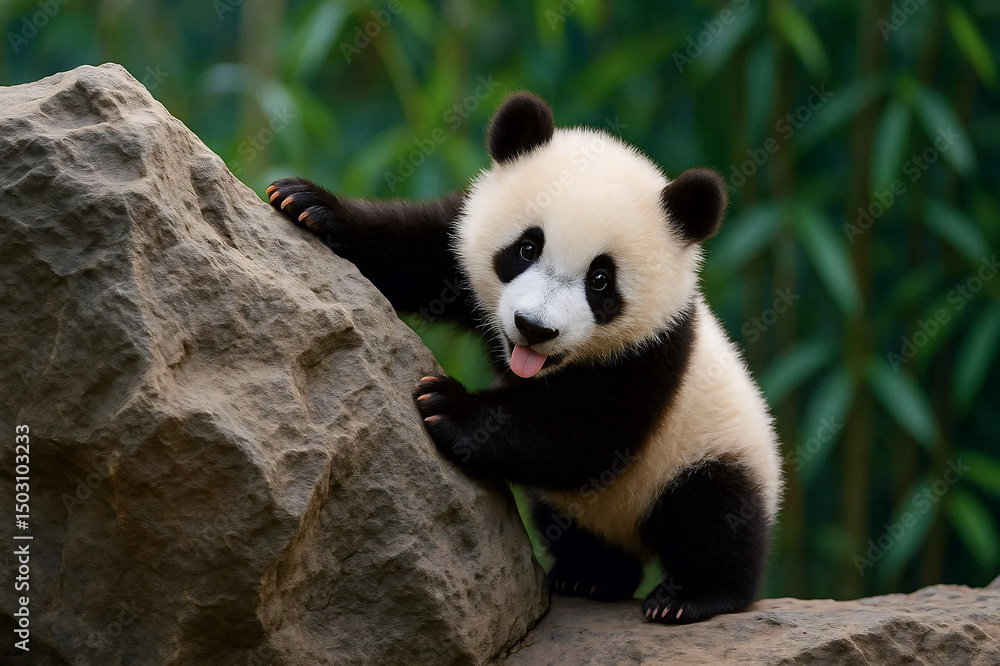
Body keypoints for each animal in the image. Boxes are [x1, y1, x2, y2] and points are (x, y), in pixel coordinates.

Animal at [267, 92, 783, 624]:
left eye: (601, 280)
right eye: (527, 248)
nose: (535, 328)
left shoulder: (654, 353)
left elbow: (588, 435)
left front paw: (449, 407)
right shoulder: (459, 240)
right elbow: (415, 248)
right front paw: (308, 206)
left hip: (711, 450)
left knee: (713, 515)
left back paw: (689, 597)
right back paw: (590, 575)